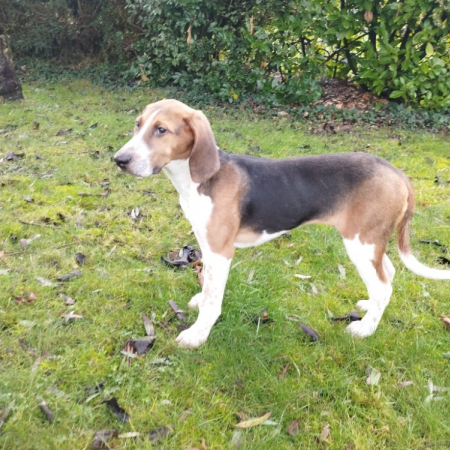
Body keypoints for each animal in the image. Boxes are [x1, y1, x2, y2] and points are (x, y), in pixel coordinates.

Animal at [114, 99, 450, 349]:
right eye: (138, 124)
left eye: (161, 130)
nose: (119, 160)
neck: (197, 180)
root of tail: (397, 173)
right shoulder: (207, 247)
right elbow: (207, 288)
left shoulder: (221, 252)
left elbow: (213, 300)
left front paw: (197, 335)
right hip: (370, 243)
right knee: (388, 276)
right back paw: (369, 310)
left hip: (360, 243)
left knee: (383, 286)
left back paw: (364, 330)